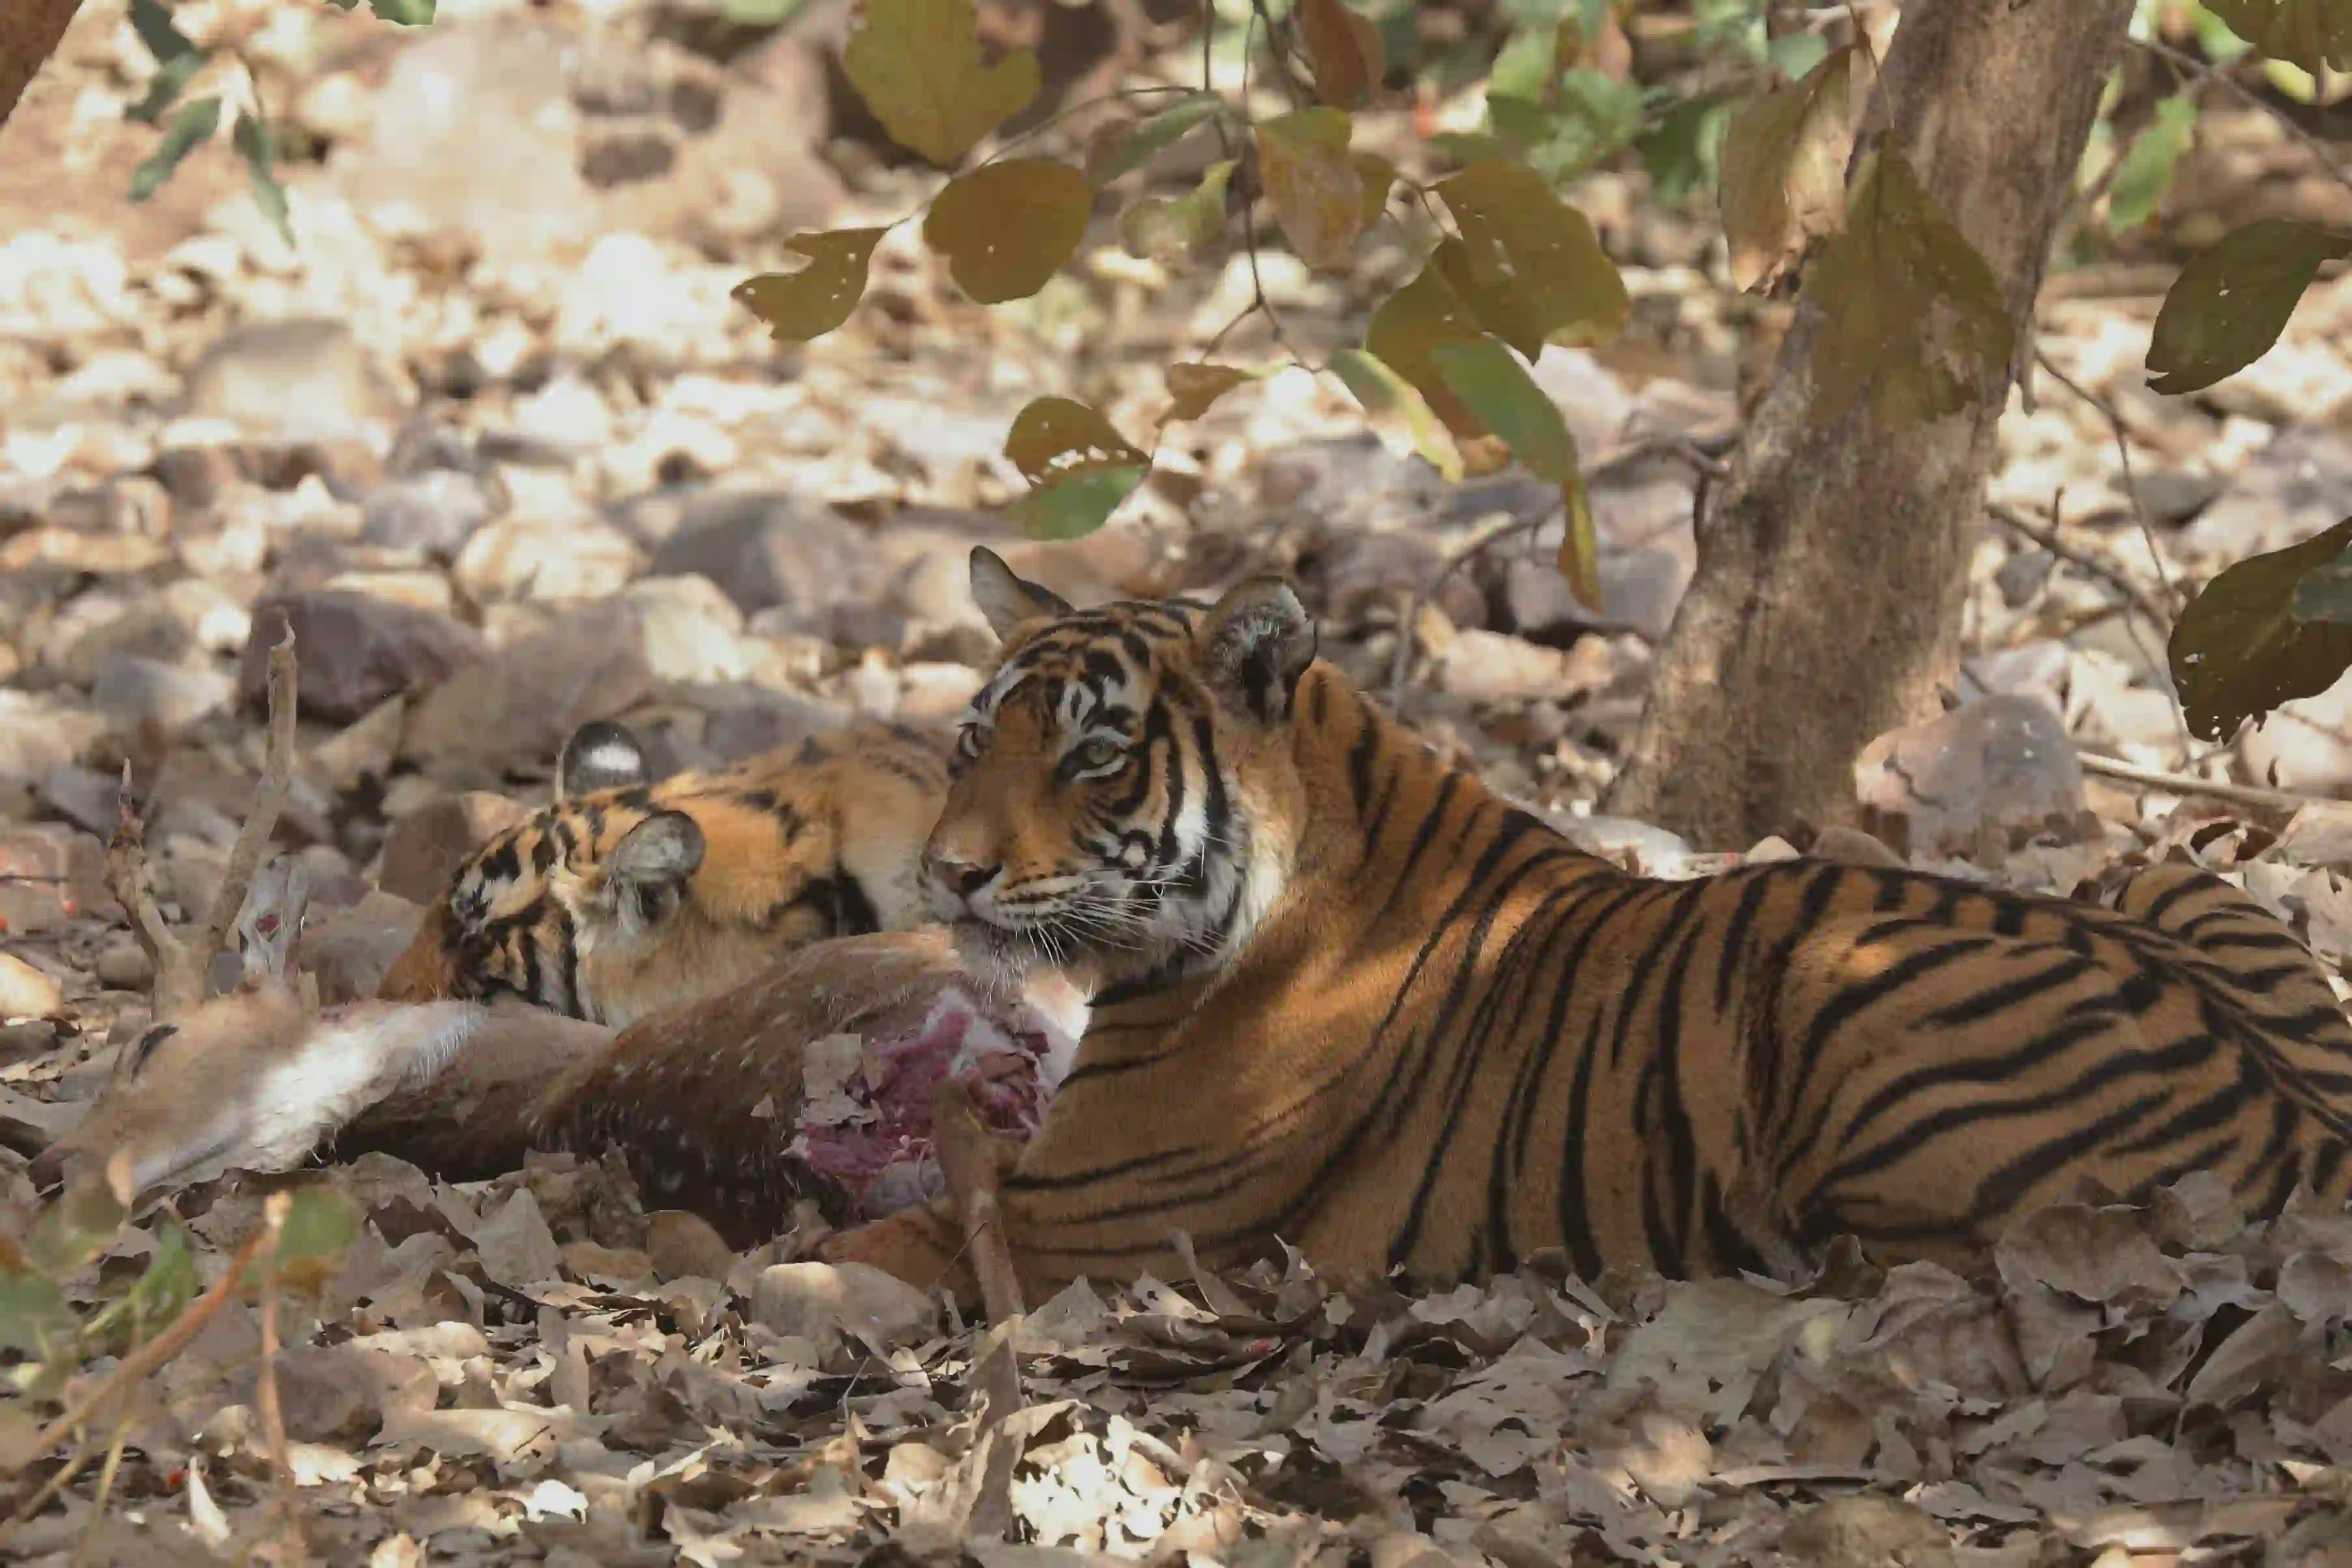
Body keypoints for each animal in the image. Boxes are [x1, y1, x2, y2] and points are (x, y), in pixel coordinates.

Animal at [823, 545, 2352, 1307]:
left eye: (1093, 757)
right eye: (974, 742)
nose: (947, 875)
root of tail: (2301, 1119)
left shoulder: (1074, 1218)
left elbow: (836, 1255)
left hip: (1835, 988)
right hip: (2151, 880)